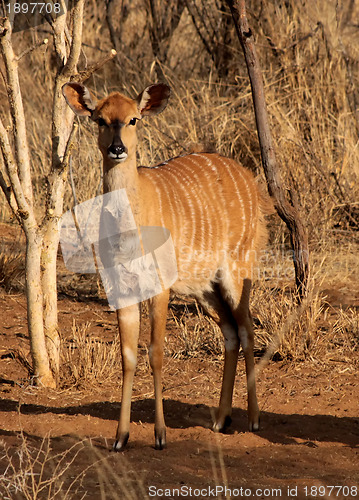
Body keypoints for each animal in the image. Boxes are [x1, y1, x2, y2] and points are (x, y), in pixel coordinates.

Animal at [62, 81, 272, 450]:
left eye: (133, 119)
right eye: (100, 119)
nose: (117, 149)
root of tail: (252, 183)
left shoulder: (159, 287)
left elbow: (156, 352)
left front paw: (160, 435)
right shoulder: (122, 290)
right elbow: (128, 355)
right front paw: (121, 438)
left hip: (237, 270)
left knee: (247, 328)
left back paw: (255, 419)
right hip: (205, 289)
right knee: (230, 332)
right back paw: (220, 420)